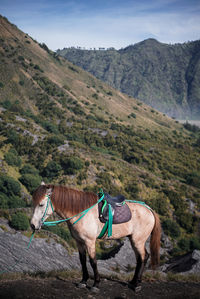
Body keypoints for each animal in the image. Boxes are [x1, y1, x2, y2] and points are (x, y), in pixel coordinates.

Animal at [30, 184, 161, 294]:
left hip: (138, 240)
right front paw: (83, 281)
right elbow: (82, 260)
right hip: (134, 240)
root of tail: (149, 210)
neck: (81, 211)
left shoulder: (90, 242)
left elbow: (93, 261)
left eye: (41, 204)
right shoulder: (79, 242)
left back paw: (137, 285)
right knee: (141, 258)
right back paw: (133, 282)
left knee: (143, 257)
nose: (32, 225)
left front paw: (96, 284)